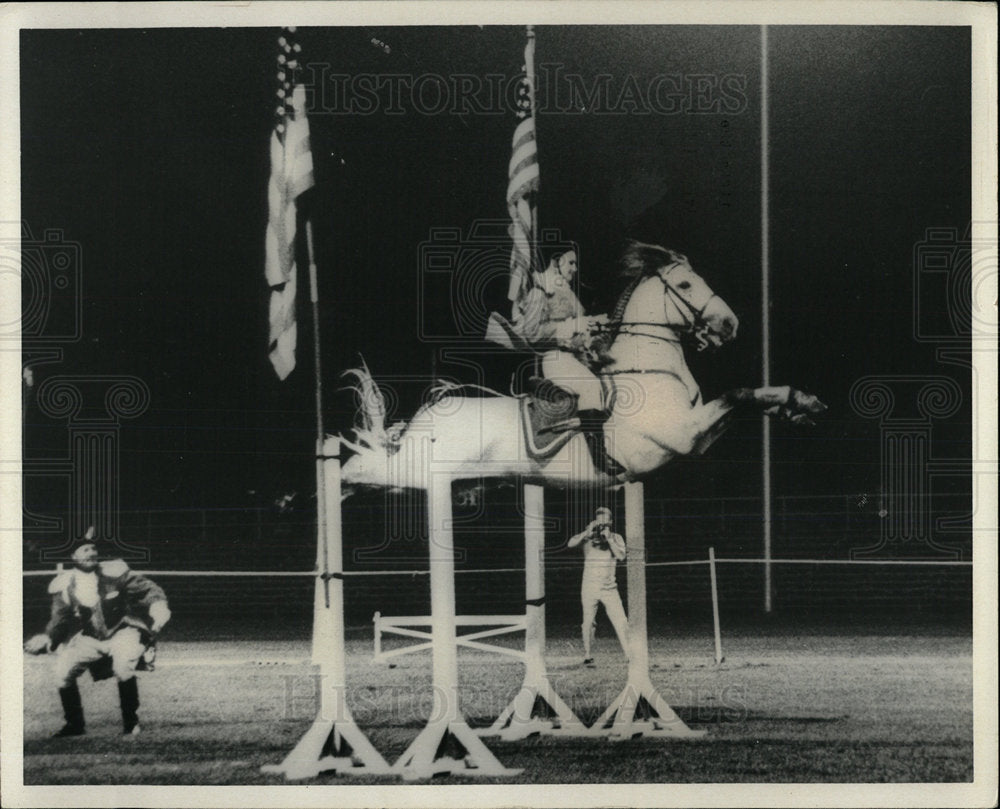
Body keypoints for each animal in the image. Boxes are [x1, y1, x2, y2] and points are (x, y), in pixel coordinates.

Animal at [340, 240, 824, 490]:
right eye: (687, 285)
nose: (729, 324)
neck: (649, 373)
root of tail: (425, 417)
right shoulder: (682, 435)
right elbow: (736, 395)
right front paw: (797, 402)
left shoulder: (697, 436)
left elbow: (746, 399)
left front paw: (798, 405)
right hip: (416, 472)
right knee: (359, 467)